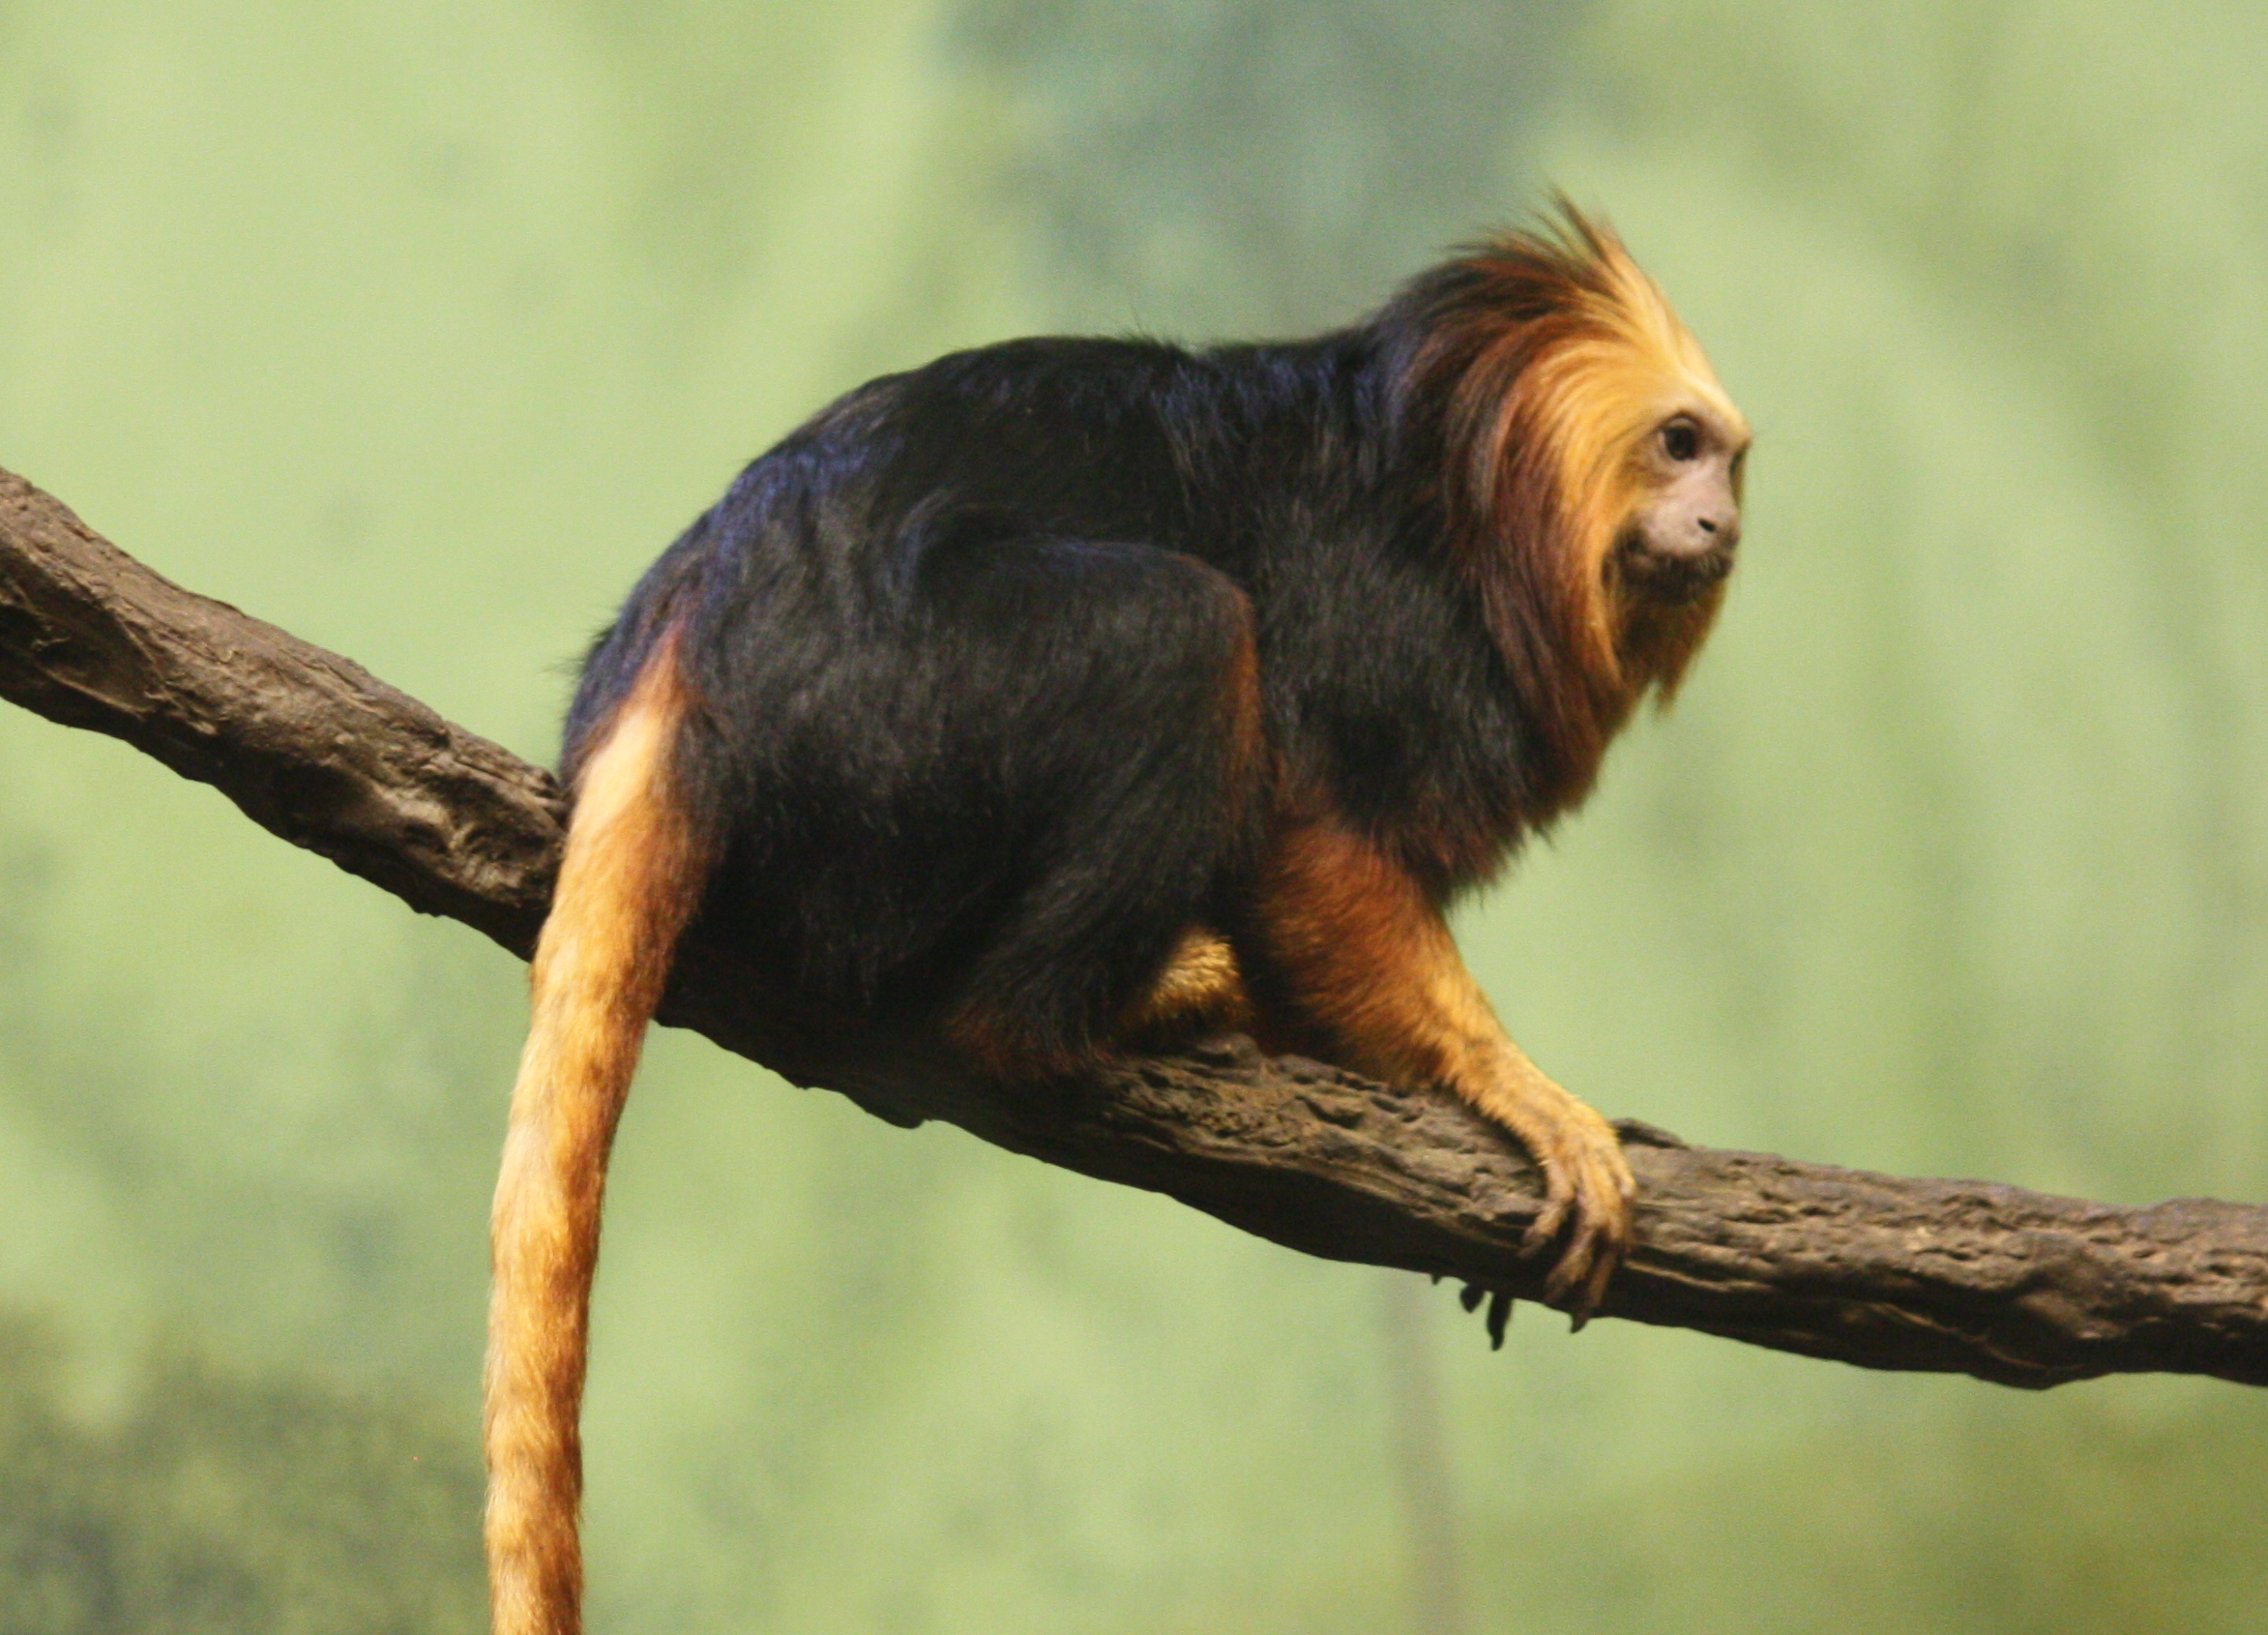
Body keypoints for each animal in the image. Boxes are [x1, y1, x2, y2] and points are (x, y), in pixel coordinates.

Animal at [483, 203, 1751, 1632]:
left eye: (1727, 461)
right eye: (1678, 443)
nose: (1718, 519)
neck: (1469, 519)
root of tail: (691, 650)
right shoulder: (1378, 625)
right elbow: (1314, 844)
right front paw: (1513, 1092)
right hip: (898, 717)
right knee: (1178, 629)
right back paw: (1102, 1011)